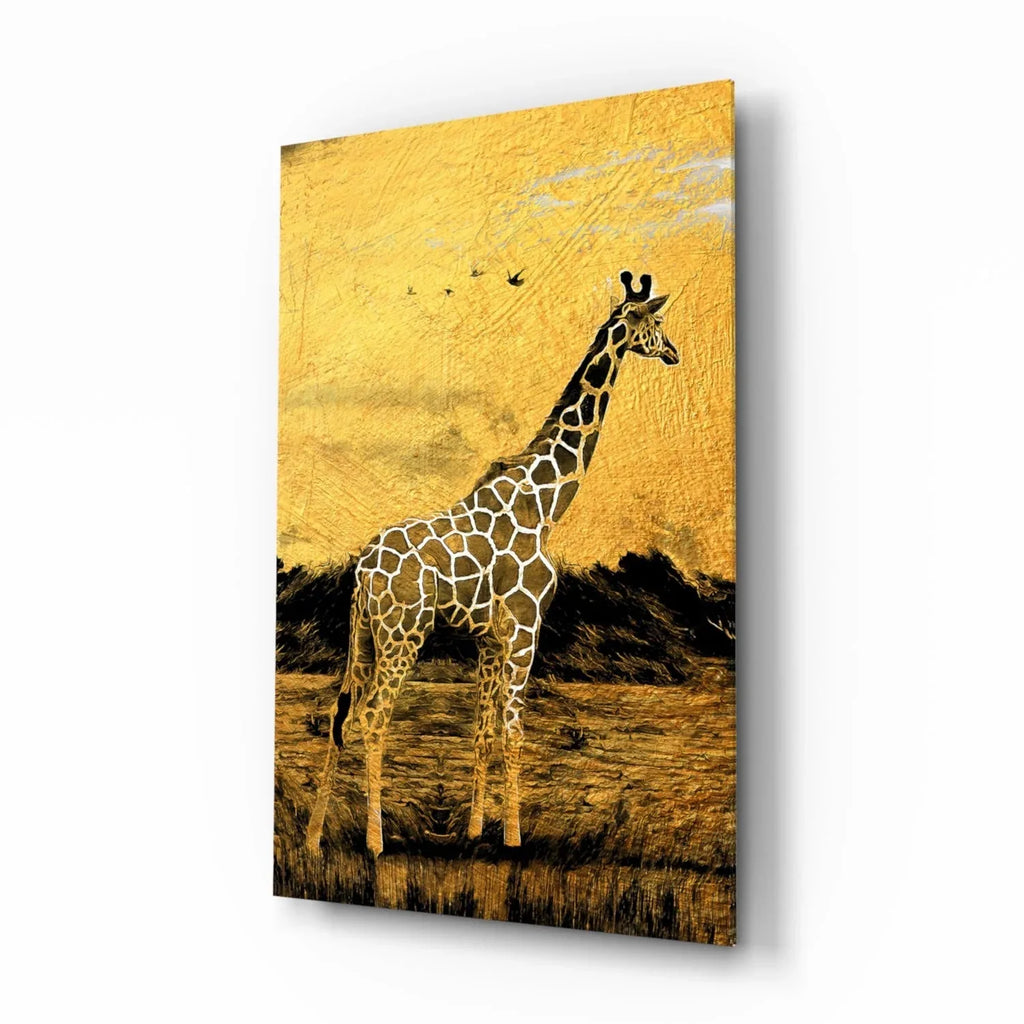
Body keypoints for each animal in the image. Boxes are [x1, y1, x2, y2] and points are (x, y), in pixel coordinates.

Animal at [305, 270, 680, 857]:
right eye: (657, 321)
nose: (675, 353)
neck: (546, 502)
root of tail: (363, 572)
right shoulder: (526, 625)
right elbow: (514, 731)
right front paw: (514, 839)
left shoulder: (489, 638)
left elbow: (481, 732)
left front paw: (478, 830)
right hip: (403, 634)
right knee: (372, 718)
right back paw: (374, 841)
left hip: (361, 635)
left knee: (339, 716)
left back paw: (315, 838)